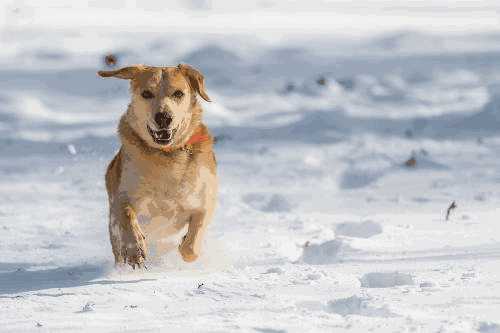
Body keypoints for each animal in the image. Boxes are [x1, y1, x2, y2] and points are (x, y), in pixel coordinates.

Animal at [99, 64, 217, 268]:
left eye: (178, 93)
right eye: (146, 93)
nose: (163, 117)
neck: (165, 155)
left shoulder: (205, 200)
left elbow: (192, 243)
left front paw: (185, 243)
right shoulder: (121, 194)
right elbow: (126, 214)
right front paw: (135, 249)